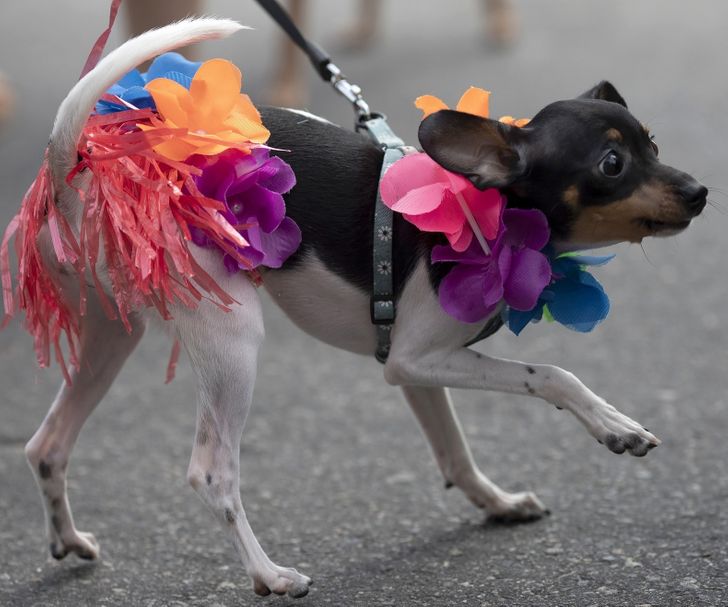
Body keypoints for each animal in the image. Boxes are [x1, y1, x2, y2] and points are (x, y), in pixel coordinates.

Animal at [18, 17, 704, 600]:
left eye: (653, 144)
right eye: (612, 164)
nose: (700, 192)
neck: (492, 209)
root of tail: (74, 167)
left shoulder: (417, 369)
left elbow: (454, 450)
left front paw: (496, 502)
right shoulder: (417, 359)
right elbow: (554, 375)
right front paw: (616, 426)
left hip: (112, 332)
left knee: (46, 445)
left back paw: (67, 539)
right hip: (231, 337)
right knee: (212, 473)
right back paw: (269, 576)